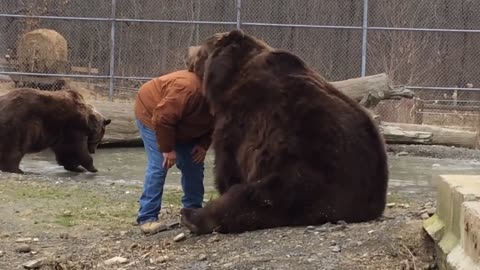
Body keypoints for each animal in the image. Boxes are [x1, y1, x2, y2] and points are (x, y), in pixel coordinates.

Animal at [180, 30, 390, 234]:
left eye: (202, 47)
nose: (187, 50)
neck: (228, 79)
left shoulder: (240, 118)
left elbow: (228, 163)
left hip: (308, 171)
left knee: (254, 198)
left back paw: (192, 216)